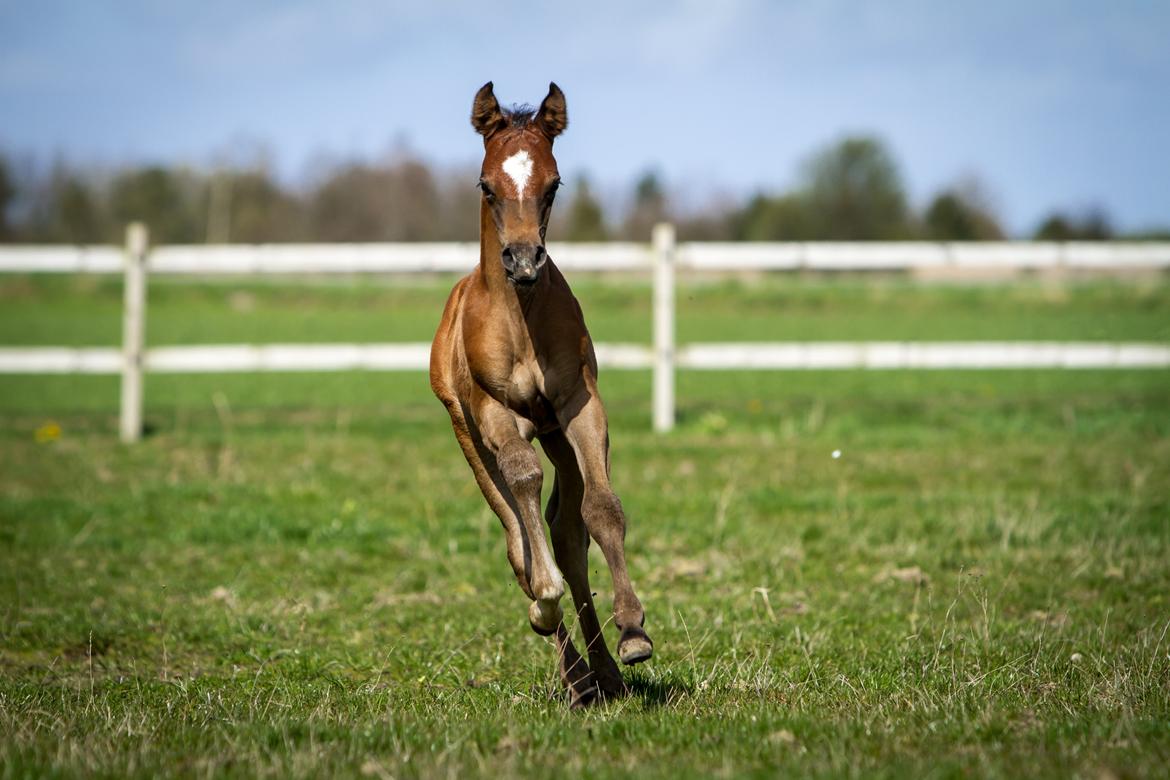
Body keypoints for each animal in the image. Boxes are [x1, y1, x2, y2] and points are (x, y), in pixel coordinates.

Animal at [430, 82, 655, 711]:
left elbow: (601, 510)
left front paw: (633, 631)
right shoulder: (493, 412)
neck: (520, 315)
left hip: (555, 436)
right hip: (468, 437)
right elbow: (526, 497)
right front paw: (542, 602)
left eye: (553, 184)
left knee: (568, 533)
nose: (525, 260)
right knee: (518, 538)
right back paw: (573, 671)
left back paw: (604, 671)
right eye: (486, 184)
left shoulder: (580, 405)